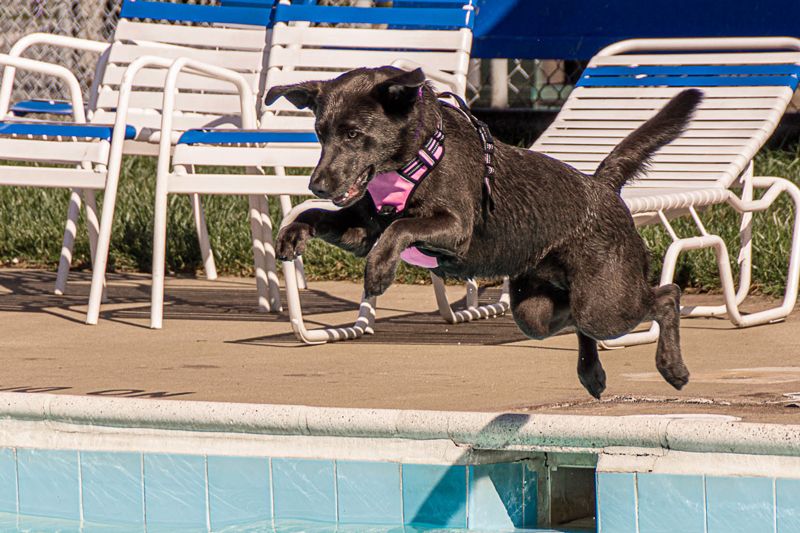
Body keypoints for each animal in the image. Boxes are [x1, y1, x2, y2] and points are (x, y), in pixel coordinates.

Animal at [268, 66, 700, 396]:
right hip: (536, 311)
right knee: (575, 322)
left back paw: (672, 367)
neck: (418, 156)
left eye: (354, 134)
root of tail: (604, 187)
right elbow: (322, 217)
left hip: (604, 303)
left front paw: (379, 271)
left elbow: (402, 226)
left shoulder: (455, 228)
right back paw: (591, 373)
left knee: (667, 296)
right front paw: (292, 233)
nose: (317, 185)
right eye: (320, 133)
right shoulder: (363, 229)